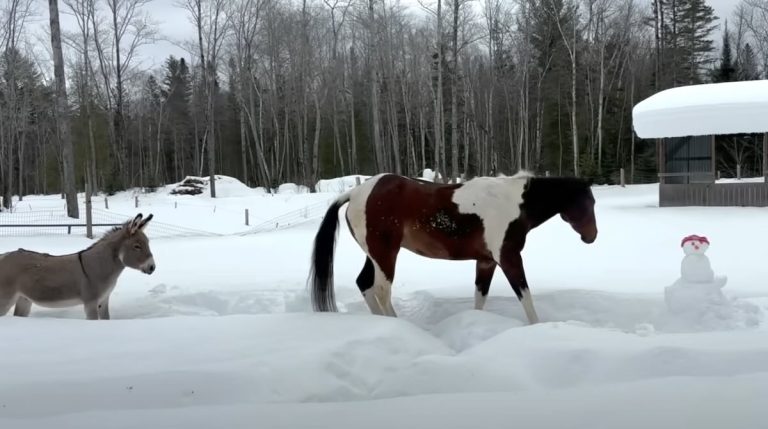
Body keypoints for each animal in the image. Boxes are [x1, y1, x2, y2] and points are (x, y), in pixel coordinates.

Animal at [0, 213, 156, 320]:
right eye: (137, 246)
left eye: (148, 243)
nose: (152, 267)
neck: (100, 266)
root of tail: (4, 255)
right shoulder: (91, 303)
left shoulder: (104, 301)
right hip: (6, 299)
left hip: (24, 300)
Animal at [308, 172, 597, 324]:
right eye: (587, 203)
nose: (592, 236)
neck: (514, 204)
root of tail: (355, 193)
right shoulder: (509, 258)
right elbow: (525, 296)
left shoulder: (486, 262)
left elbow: (480, 297)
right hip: (385, 254)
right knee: (380, 289)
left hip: (375, 255)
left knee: (365, 284)